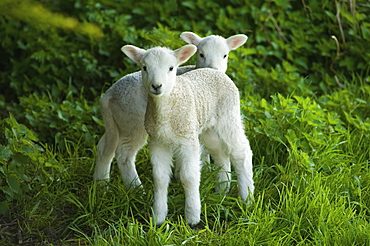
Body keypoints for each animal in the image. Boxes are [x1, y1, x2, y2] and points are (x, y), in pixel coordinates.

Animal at [93, 31, 249, 188]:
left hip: (118, 123)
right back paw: (136, 188)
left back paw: (101, 184)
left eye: (225, 55)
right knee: (125, 153)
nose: (213, 69)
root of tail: (108, 95)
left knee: (105, 147)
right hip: (133, 123)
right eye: (201, 54)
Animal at [121, 43, 254, 225]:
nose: (157, 86)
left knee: (241, 152)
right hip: (207, 127)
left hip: (229, 115)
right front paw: (158, 218)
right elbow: (160, 178)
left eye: (171, 68)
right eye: (144, 67)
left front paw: (192, 217)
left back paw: (247, 197)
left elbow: (189, 177)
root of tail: (216, 71)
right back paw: (221, 190)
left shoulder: (188, 141)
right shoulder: (158, 142)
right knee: (220, 153)